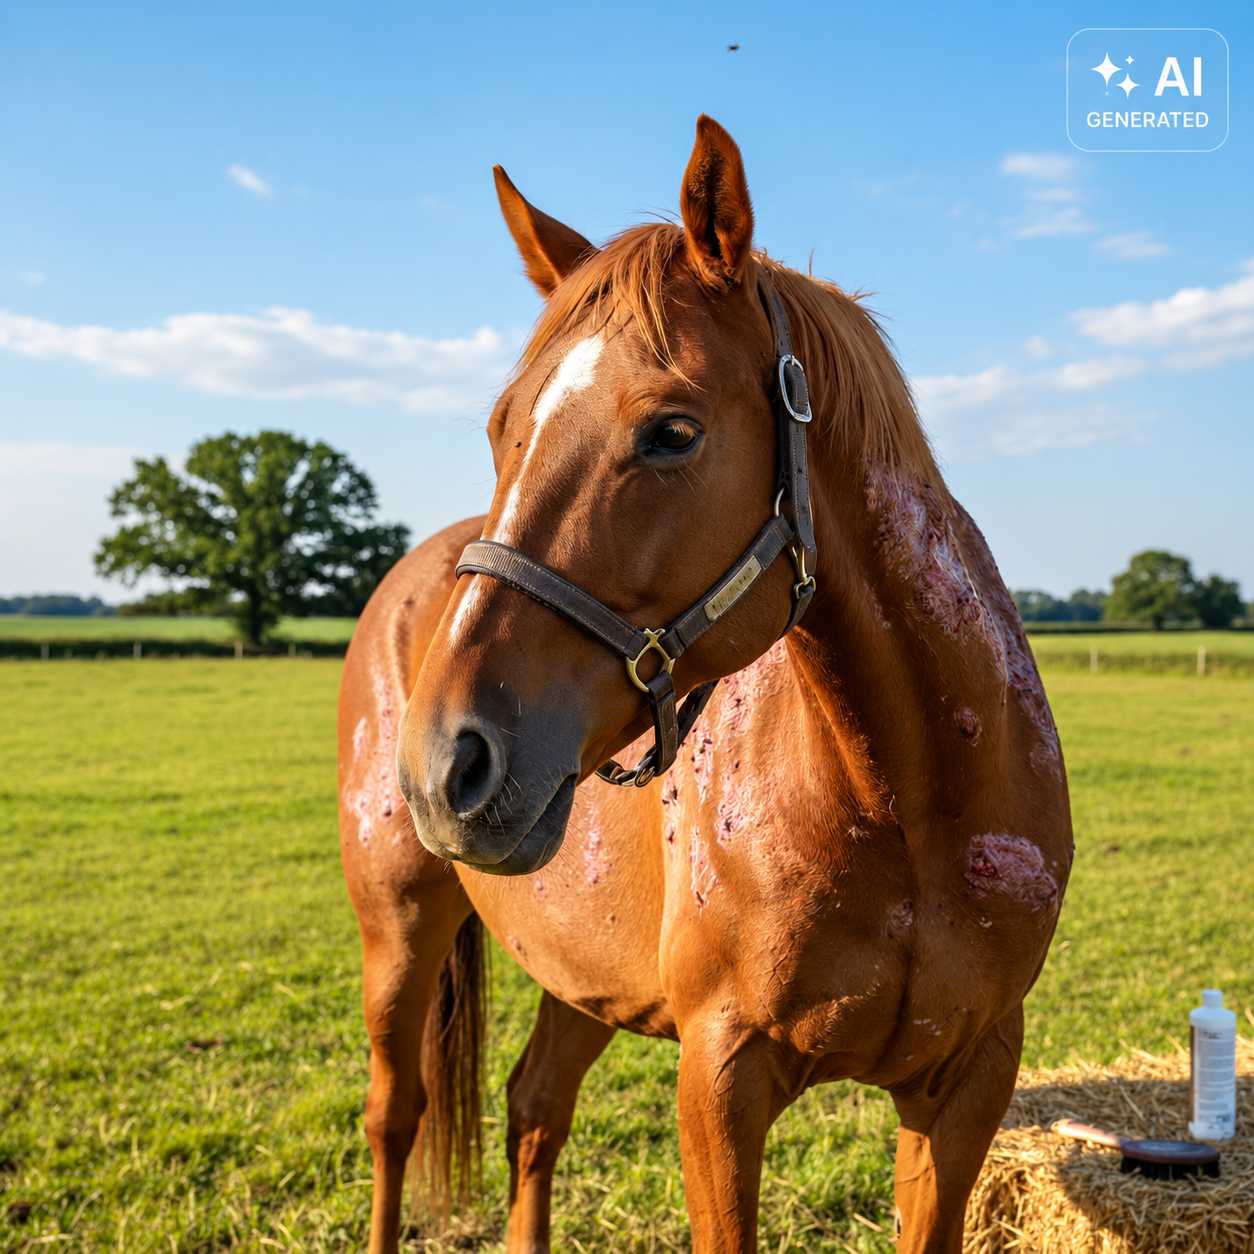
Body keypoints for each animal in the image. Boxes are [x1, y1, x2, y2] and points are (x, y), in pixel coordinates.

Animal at [338, 115, 1073, 1253]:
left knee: (533, 1109)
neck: (909, 801)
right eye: (503, 428)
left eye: (671, 431)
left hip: (577, 972)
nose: (444, 762)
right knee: (395, 1116)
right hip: (399, 929)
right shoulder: (720, 1080)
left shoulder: (968, 1084)